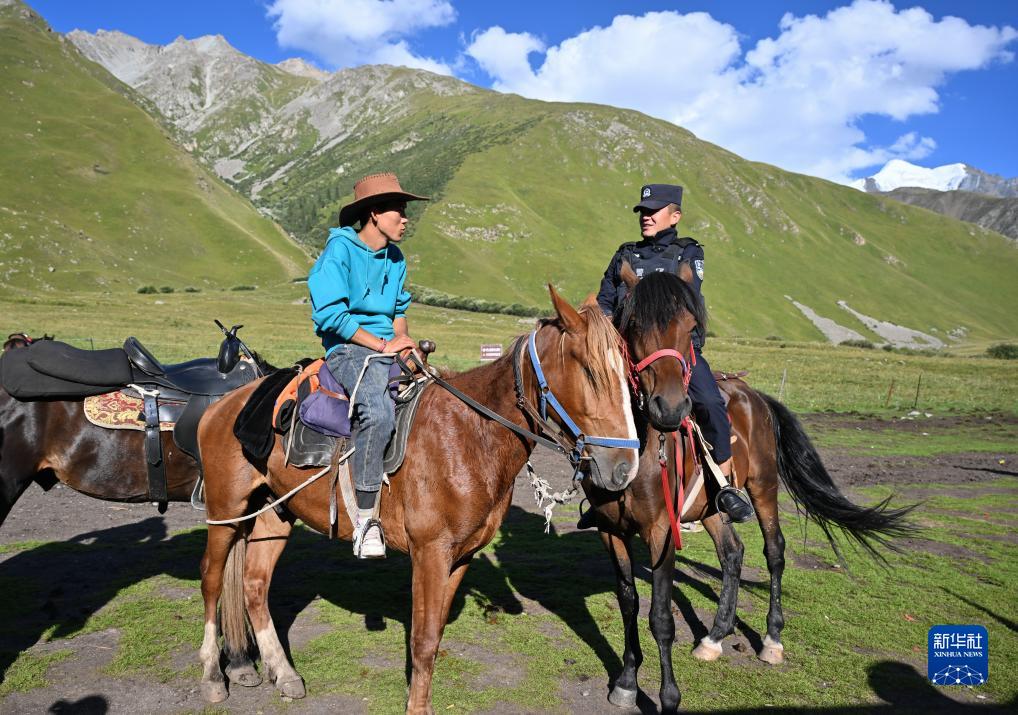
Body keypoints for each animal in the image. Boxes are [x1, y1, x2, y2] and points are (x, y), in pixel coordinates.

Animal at [194, 287, 643, 714]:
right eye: (589, 372)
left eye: (628, 376)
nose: (624, 468)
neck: (469, 434)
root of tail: (223, 405)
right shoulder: (430, 552)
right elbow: (423, 639)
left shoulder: (460, 556)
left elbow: (435, 635)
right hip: (226, 512)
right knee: (212, 581)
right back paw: (214, 677)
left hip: (275, 513)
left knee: (254, 585)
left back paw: (284, 673)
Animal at [579, 263, 916, 712]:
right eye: (633, 325)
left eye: (691, 327)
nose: (670, 409)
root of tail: (753, 395)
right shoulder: (609, 529)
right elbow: (629, 604)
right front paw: (627, 681)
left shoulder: (661, 532)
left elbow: (661, 617)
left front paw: (668, 697)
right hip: (711, 507)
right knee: (733, 553)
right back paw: (714, 637)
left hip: (763, 488)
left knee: (774, 552)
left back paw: (772, 640)